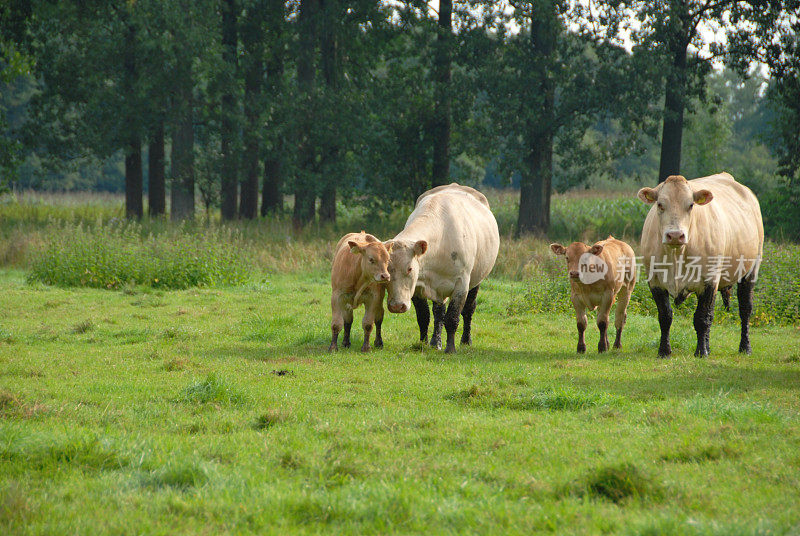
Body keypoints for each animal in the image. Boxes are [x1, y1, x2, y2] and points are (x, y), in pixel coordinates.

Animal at [384, 182, 496, 354]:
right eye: (387, 269)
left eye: (410, 269)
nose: (397, 306)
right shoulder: (417, 286)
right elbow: (423, 316)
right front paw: (422, 343)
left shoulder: (461, 284)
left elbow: (452, 318)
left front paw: (450, 348)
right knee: (439, 312)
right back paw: (435, 342)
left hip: (477, 280)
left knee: (468, 309)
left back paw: (466, 340)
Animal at [636, 173, 764, 356]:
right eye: (660, 204)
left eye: (690, 205)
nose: (675, 235)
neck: (676, 255)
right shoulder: (655, 281)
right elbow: (665, 316)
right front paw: (664, 351)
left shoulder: (709, 281)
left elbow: (702, 318)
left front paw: (701, 351)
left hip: (751, 269)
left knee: (745, 309)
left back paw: (745, 347)